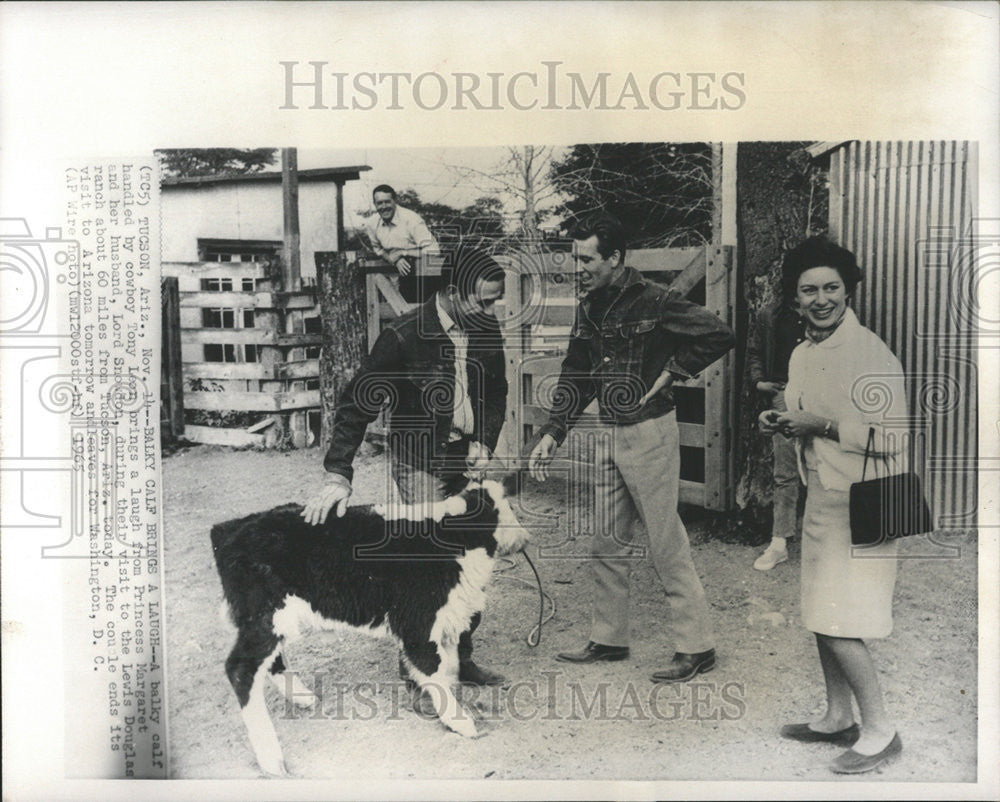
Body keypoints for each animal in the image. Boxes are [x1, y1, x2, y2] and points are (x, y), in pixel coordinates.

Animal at [212, 476, 532, 776]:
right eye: (503, 509)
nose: (525, 539)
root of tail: (229, 528)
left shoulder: (447, 619)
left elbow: (450, 668)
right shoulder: (417, 623)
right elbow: (434, 670)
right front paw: (460, 721)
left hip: (274, 619)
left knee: (272, 659)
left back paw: (302, 698)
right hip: (264, 614)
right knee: (240, 669)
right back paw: (271, 759)